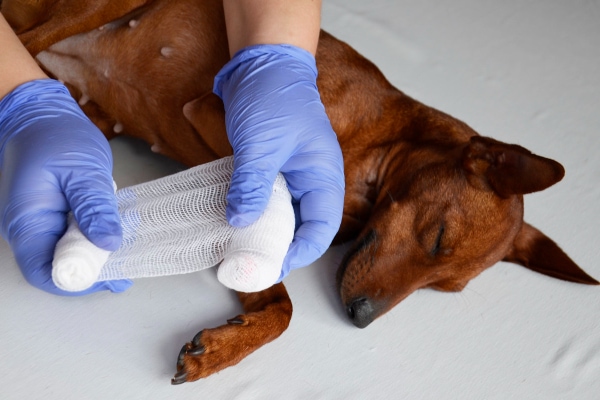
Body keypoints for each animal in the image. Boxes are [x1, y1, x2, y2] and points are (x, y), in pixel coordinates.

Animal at [2, 0, 596, 384]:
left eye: (440, 289)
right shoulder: (221, 118)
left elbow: (280, 305)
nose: (360, 318)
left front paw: (225, 346)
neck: (379, 143)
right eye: (438, 237)